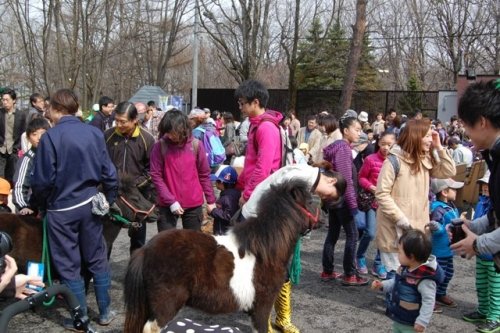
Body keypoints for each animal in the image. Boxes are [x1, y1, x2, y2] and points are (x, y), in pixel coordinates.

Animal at [123, 179, 318, 332]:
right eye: (309, 202)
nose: (322, 219)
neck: (265, 250)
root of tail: (145, 250)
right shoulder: (262, 305)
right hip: (165, 306)